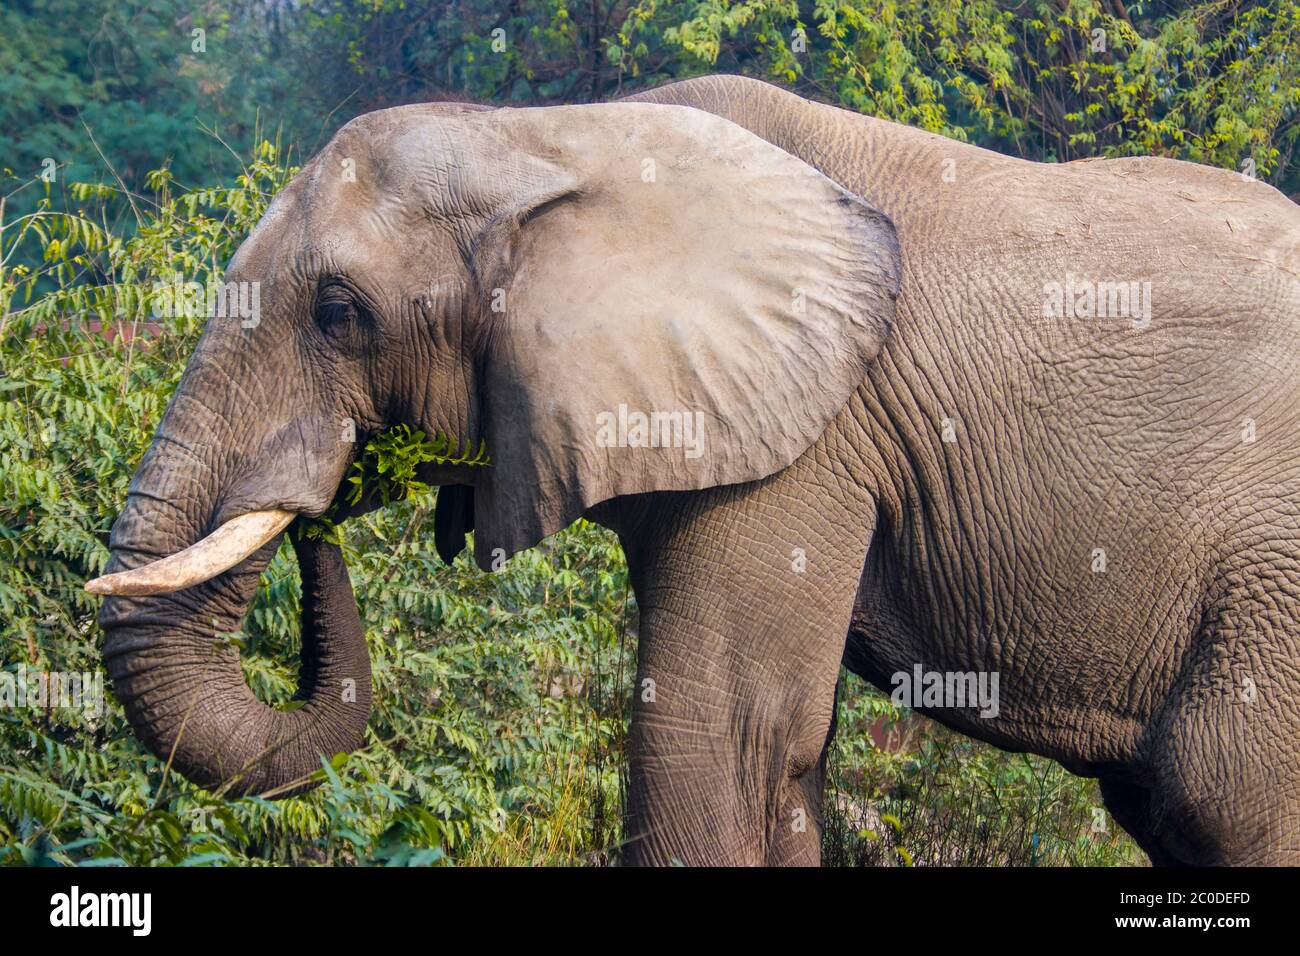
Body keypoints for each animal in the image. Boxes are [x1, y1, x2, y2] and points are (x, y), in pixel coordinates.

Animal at [89, 74, 1300, 868]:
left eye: (338, 311)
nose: (315, 515)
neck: (555, 133)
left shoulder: (804, 435)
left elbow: (721, 740)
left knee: (1223, 793)